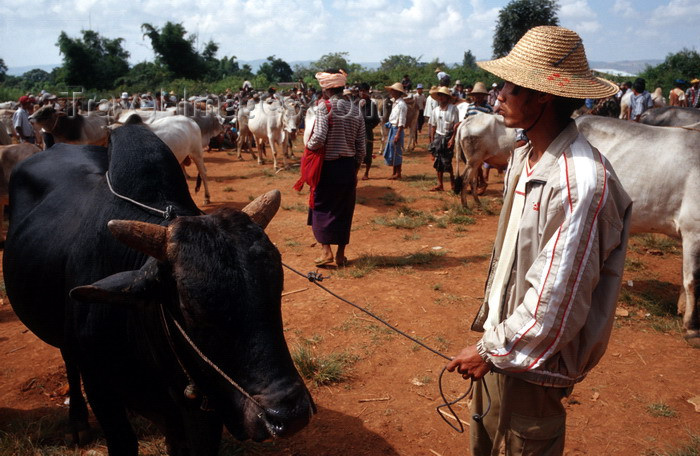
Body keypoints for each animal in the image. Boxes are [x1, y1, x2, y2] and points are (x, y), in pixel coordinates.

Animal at [2, 123, 314, 454]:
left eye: (276, 288)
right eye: (189, 309)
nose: (290, 415)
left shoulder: (201, 414)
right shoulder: (103, 395)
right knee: (70, 362)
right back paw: (77, 421)